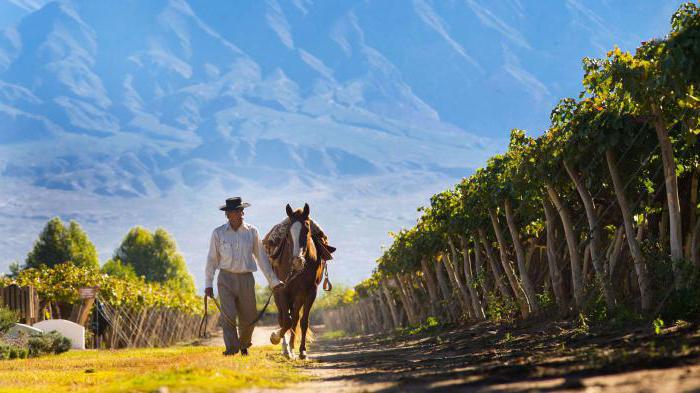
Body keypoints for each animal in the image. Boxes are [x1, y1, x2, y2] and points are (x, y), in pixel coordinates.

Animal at [268, 202, 334, 358]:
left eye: (307, 229)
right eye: (287, 233)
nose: (297, 261)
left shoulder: (310, 291)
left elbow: (303, 321)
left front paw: (302, 351)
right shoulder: (282, 290)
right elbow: (285, 321)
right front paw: (275, 338)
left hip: (298, 296)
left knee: (296, 317)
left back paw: (292, 348)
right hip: (279, 294)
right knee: (283, 318)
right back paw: (286, 349)